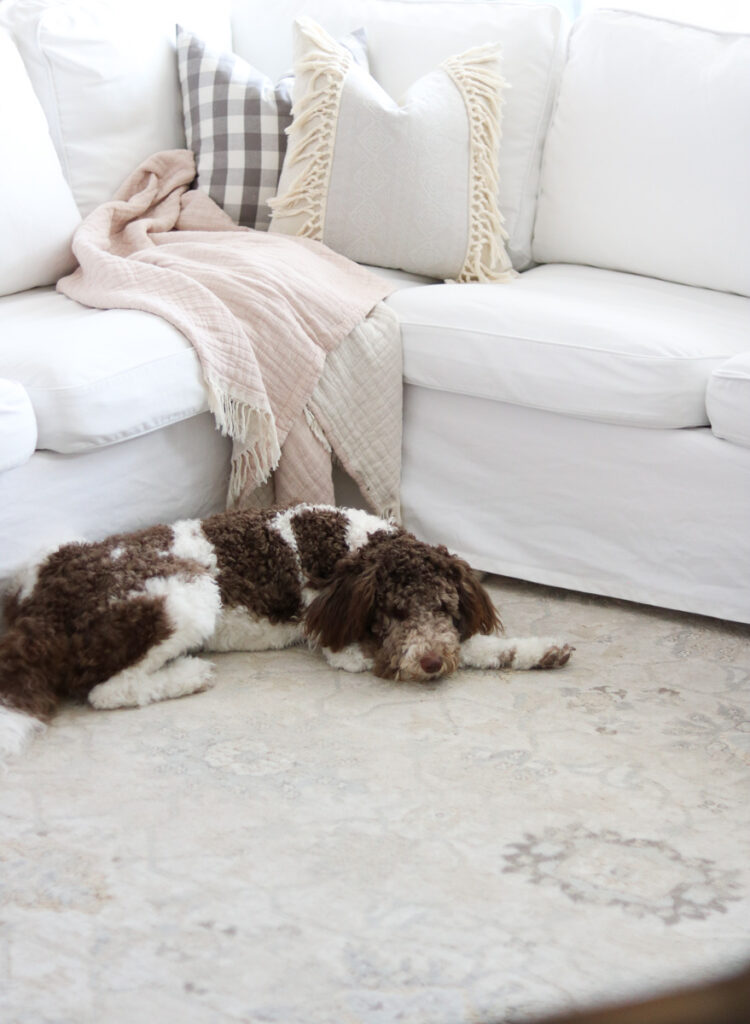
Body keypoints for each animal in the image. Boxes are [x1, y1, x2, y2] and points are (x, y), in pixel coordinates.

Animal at [1, 499, 573, 757]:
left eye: (445, 605)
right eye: (393, 612)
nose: (432, 665)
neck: (353, 546)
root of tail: (37, 607)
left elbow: (480, 645)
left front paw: (541, 650)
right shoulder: (346, 639)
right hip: (184, 596)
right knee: (107, 690)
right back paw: (189, 675)